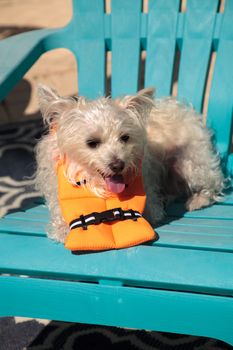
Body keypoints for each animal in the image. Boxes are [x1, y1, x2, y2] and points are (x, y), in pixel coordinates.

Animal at [36, 86, 226, 242]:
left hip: (191, 164)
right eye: (92, 142)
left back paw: (198, 200)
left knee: (214, 184)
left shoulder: (150, 195)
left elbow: (152, 210)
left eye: (125, 137)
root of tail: (189, 112)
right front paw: (62, 228)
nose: (118, 165)